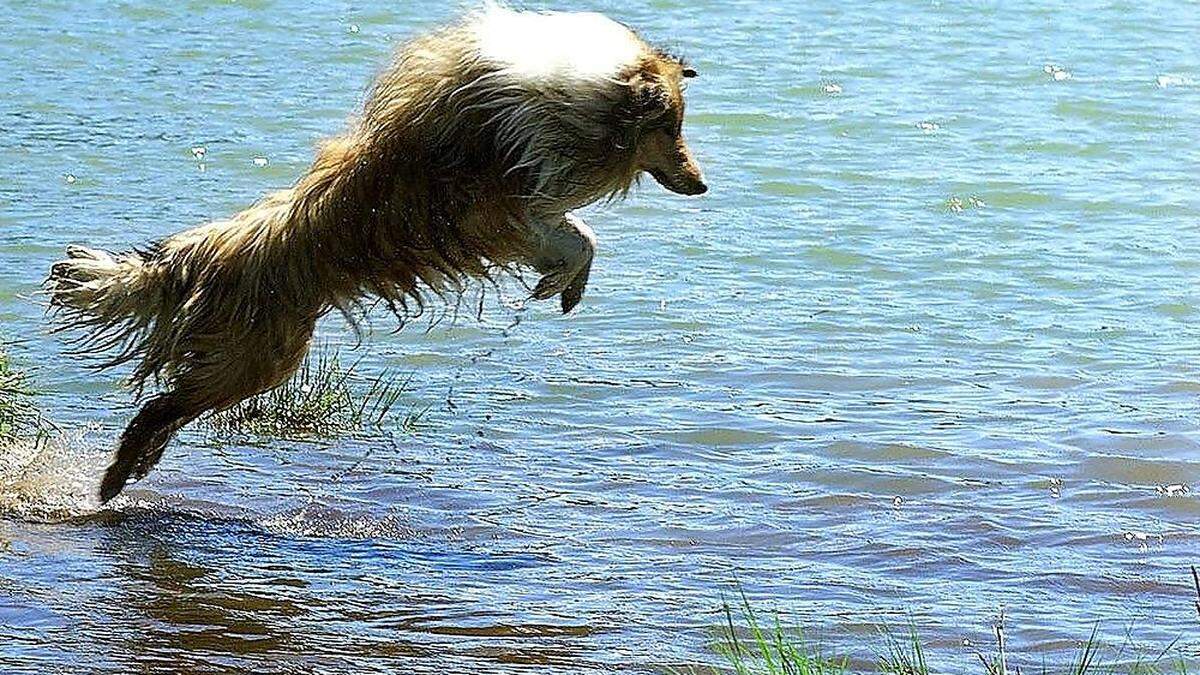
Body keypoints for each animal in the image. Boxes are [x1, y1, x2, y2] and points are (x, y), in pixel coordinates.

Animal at [44, 5, 700, 499]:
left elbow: (577, 235)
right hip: (256, 360)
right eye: (671, 127)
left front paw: (563, 285)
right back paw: (113, 481)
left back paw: (134, 470)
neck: (582, 93)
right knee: (160, 408)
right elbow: (578, 236)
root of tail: (193, 256)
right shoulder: (504, 208)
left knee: (167, 408)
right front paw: (563, 283)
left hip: (248, 360)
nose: (702, 185)